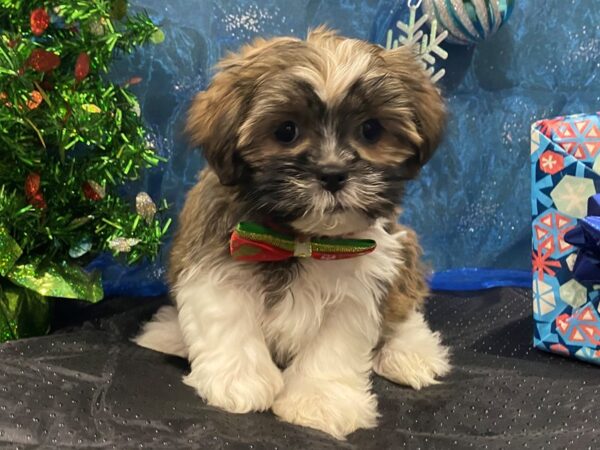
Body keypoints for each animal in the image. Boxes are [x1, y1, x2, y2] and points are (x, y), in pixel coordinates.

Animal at [137, 28, 450, 440]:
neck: (302, 241)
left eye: (371, 130)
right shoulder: (213, 260)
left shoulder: (360, 284)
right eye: (286, 130)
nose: (333, 173)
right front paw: (239, 382)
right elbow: (227, 318)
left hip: (404, 247)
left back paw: (412, 353)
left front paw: (320, 400)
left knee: (404, 307)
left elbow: (333, 347)